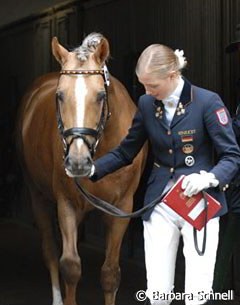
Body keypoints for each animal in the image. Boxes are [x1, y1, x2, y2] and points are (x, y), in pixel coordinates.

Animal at [16, 33, 146, 304]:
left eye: (100, 96)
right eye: (59, 95)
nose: (77, 162)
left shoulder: (122, 207)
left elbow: (110, 273)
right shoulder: (66, 203)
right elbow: (70, 266)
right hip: (37, 194)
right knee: (50, 250)